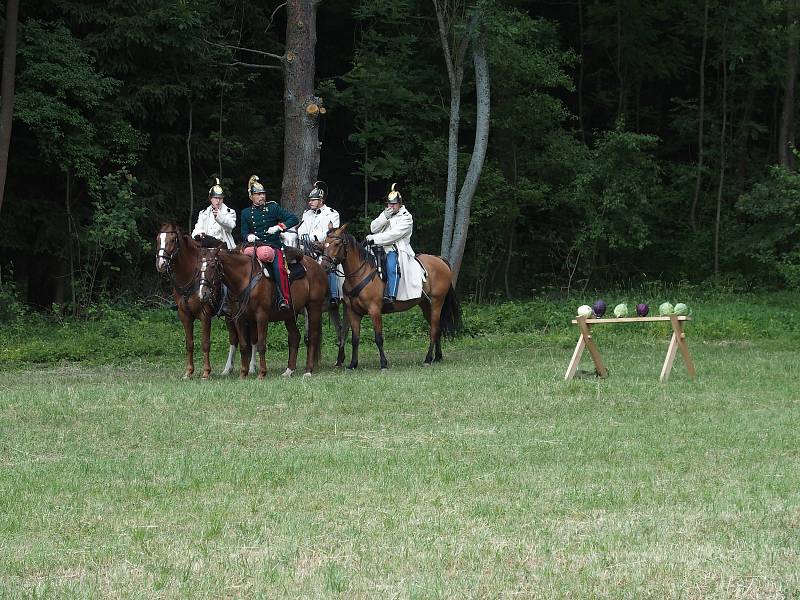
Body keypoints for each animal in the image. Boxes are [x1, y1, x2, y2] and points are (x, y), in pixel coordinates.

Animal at [155, 225, 255, 380]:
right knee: (234, 339)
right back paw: (228, 369)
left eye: (172, 240)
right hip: (230, 316)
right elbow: (189, 343)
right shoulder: (184, 315)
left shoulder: (205, 315)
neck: (191, 276)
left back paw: (251, 368)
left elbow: (205, 343)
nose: (161, 264)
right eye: (158, 239)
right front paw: (189, 372)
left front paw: (206, 372)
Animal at [203, 246, 332, 378]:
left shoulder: (261, 316)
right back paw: (289, 370)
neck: (244, 279)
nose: (204, 293)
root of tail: (318, 266)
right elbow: (244, 345)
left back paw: (308, 370)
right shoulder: (238, 318)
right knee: (295, 337)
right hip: (289, 314)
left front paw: (262, 373)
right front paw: (243, 374)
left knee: (312, 336)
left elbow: (261, 344)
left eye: (212, 265)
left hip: (314, 307)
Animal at [318, 223, 462, 368]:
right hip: (426, 305)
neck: (360, 273)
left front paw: (383, 363)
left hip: (437, 302)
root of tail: (439, 259)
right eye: (324, 243)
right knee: (436, 328)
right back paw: (437, 357)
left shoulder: (374, 310)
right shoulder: (353, 312)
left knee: (434, 330)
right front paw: (353, 364)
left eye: (337, 243)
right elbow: (355, 339)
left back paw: (427, 359)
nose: (324, 266)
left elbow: (378, 338)